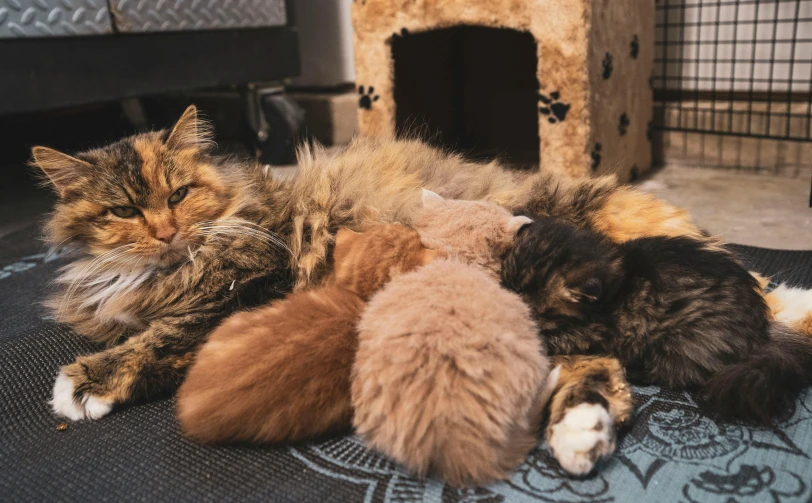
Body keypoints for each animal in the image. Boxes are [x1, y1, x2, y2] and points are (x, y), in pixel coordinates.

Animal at [32, 106, 292, 422]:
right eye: (124, 211)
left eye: (178, 195)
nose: (167, 233)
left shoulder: (247, 293)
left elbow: (163, 337)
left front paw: (82, 383)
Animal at [502, 219, 812, 428]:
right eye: (507, 285)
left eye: (536, 310)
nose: (512, 304)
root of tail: (760, 335)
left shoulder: (591, 332)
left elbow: (554, 337)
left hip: (685, 343)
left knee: (679, 374)